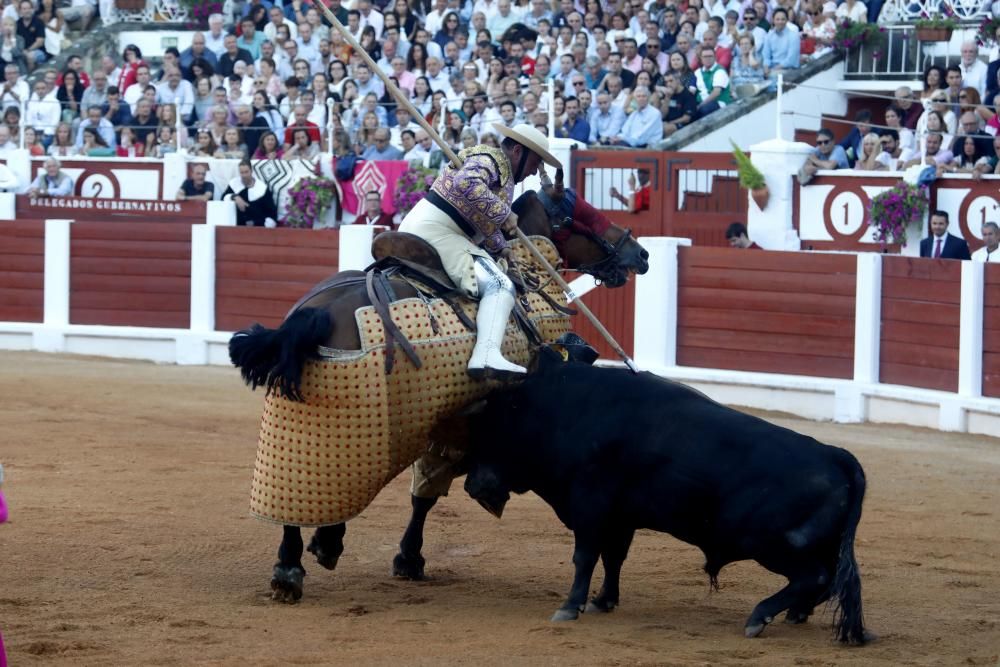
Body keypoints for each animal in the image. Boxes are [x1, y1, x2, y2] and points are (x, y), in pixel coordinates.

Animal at [229, 185, 648, 604]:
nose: (640, 254)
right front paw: (407, 555)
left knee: (292, 491)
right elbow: (430, 489)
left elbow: (425, 491)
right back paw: (301, 563)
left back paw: (290, 567)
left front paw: (402, 556)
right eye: (581, 213)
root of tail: (318, 314)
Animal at [444, 362, 868, 644]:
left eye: (491, 429)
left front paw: (570, 606)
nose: (472, 486)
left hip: (772, 543)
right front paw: (603, 601)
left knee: (814, 577)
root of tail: (833, 454)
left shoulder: (590, 504)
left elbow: (585, 556)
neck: (561, 411)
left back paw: (759, 616)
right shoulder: (620, 517)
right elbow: (613, 558)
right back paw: (794, 613)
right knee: (827, 580)